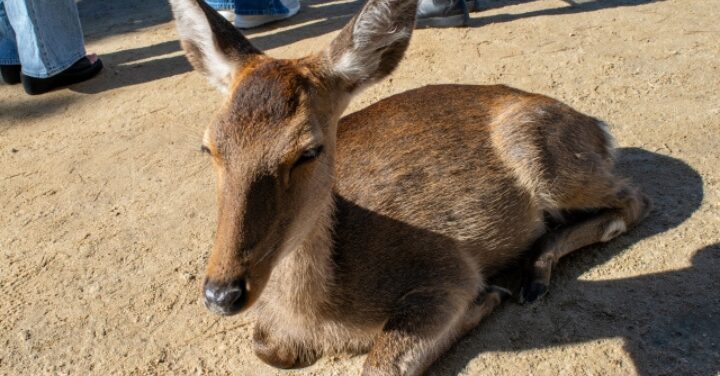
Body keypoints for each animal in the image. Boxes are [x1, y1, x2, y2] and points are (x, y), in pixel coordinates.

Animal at [170, 0, 652, 374]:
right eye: (209, 145)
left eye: (308, 150)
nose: (221, 293)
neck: (322, 316)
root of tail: (599, 127)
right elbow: (266, 347)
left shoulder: (447, 269)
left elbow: (382, 364)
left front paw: (487, 297)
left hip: (549, 158)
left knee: (635, 199)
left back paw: (532, 275)